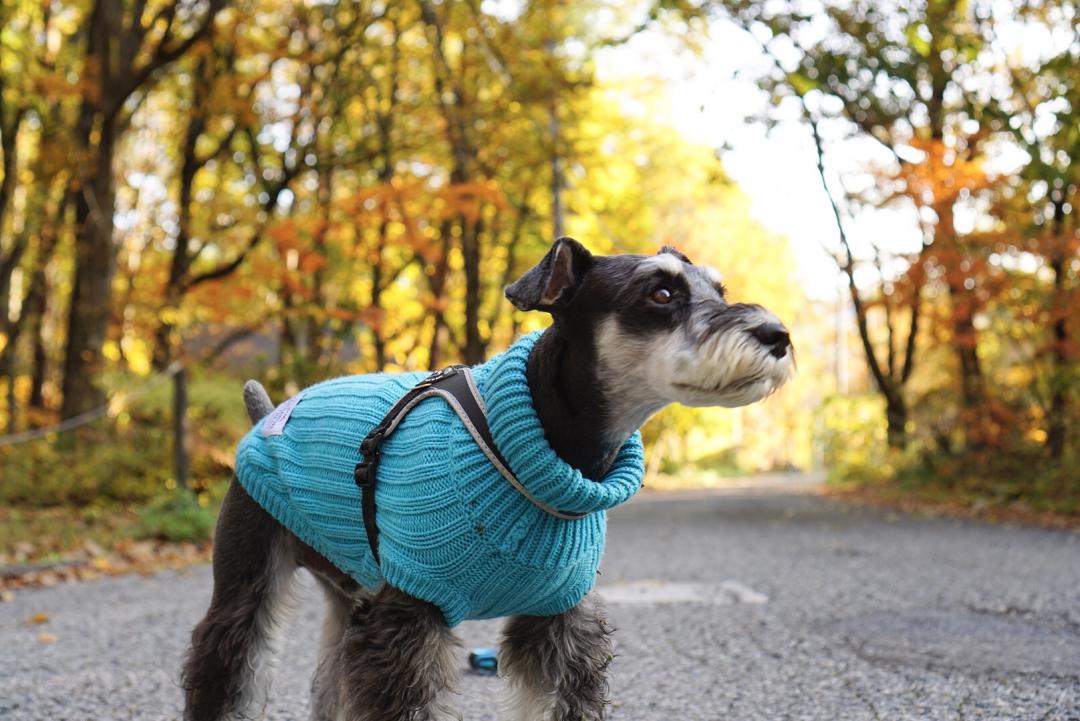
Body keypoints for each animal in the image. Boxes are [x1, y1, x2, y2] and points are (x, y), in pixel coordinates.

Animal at [181, 237, 794, 721]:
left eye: (718, 288)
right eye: (660, 294)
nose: (778, 334)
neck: (544, 448)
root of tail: (265, 416)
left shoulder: (560, 622)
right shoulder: (407, 622)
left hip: (349, 591)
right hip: (246, 586)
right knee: (228, 664)